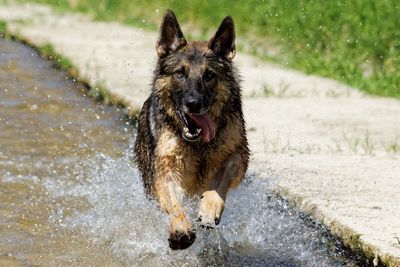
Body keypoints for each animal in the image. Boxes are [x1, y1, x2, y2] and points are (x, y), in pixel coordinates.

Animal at [136, 9, 248, 250]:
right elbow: (174, 205)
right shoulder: (166, 170)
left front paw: (209, 209)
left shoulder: (238, 156)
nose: (194, 103)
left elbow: (220, 180)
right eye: (180, 73)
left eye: (209, 76)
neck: (199, 145)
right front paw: (180, 229)